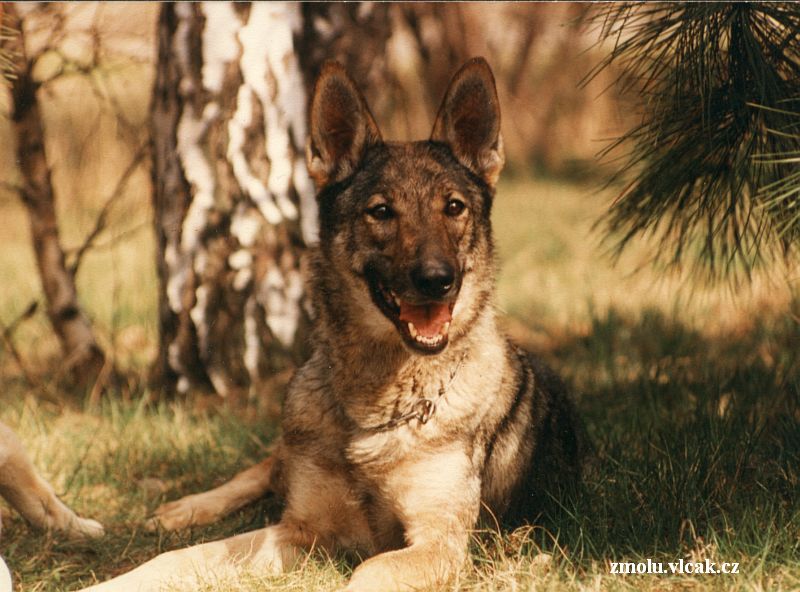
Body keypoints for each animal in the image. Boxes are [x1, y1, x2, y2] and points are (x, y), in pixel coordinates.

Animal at [81, 56, 580, 592]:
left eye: (453, 208)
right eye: (381, 212)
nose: (437, 281)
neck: (380, 409)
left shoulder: (438, 544)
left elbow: (366, 571)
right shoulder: (300, 528)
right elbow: (179, 557)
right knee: (264, 466)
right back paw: (186, 507)